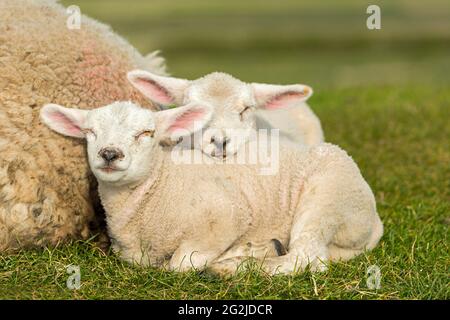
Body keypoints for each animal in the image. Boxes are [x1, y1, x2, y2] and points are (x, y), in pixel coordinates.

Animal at [39, 100, 384, 276]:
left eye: (147, 133)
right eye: (89, 132)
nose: (109, 154)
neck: (160, 185)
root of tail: (374, 219)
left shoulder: (227, 214)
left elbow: (179, 265)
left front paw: (232, 257)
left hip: (328, 196)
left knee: (308, 256)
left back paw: (237, 266)